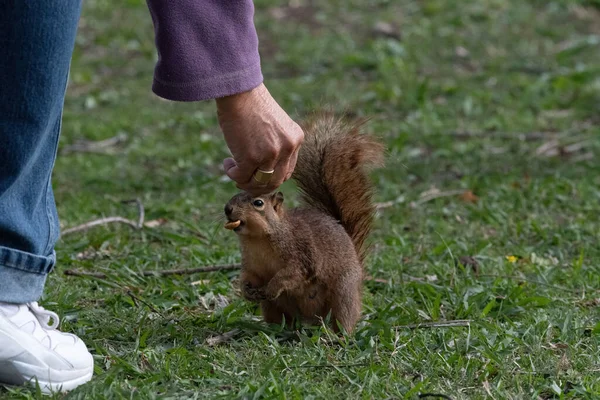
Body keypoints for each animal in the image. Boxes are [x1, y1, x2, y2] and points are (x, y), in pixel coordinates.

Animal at [223, 111, 382, 332]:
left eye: (258, 203)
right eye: (234, 196)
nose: (227, 209)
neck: (258, 240)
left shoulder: (301, 254)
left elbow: (292, 274)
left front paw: (272, 288)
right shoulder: (252, 264)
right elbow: (249, 275)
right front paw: (246, 289)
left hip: (343, 292)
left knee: (344, 316)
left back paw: (337, 334)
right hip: (273, 308)